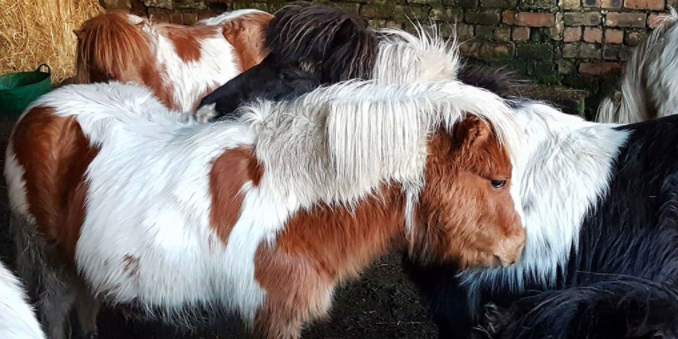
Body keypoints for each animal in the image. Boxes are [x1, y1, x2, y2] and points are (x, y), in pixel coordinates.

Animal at [2, 79, 528, 339]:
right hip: (49, 261)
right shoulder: (274, 314)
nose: (517, 248)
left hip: (80, 262)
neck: (300, 199)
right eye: (497, 180)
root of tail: (40, 109)